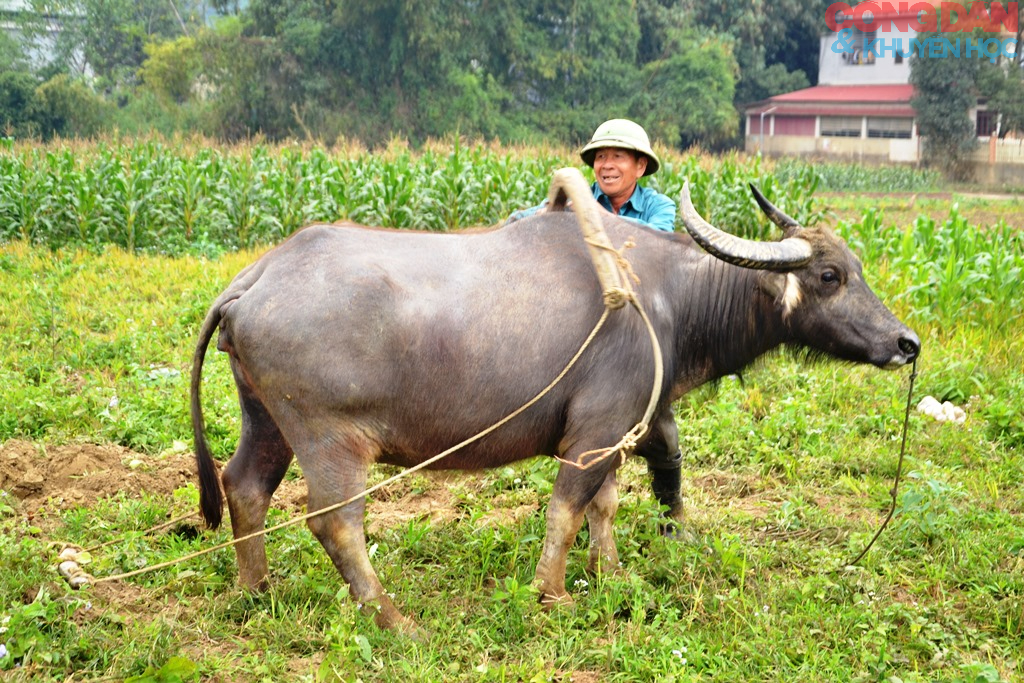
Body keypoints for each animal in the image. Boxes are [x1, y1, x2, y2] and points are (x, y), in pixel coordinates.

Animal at [190, 174, 921, 634]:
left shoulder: (623, 428)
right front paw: (554, 593)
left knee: (244, 484)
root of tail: (258, 277)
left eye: (857, 267)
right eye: (829, 275)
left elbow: (605, 504)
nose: (906, 342)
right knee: (335, 521)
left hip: (266, 417)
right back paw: (394, 618)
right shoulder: (594, 431)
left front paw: (613, 572)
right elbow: (566, 509)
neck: (667, 296)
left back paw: (255, 588)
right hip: (328, 436)